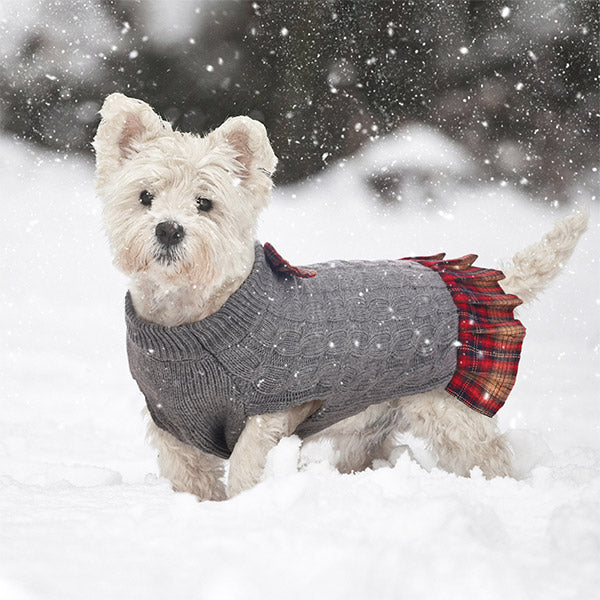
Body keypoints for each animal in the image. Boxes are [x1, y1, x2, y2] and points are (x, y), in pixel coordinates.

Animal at [92, 92, 584, 502]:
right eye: (145, 196)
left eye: (205, 203)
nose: (168, 229)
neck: (190, 317)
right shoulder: (171, 424)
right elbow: (189, 479)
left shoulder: (271, 410)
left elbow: (249, 466)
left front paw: (247, 506)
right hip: (371, 429)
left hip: (451, 413)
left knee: (488, 455)